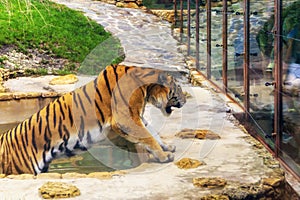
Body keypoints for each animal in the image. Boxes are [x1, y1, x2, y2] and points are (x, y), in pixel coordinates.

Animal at [0, 64, 186, 175]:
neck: (146, 89)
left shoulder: (135, 117)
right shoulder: (125, 118)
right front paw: (164, 156)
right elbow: (148, 137)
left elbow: (153, 133)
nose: (185, 100)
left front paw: (167, 147)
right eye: (179, 88)